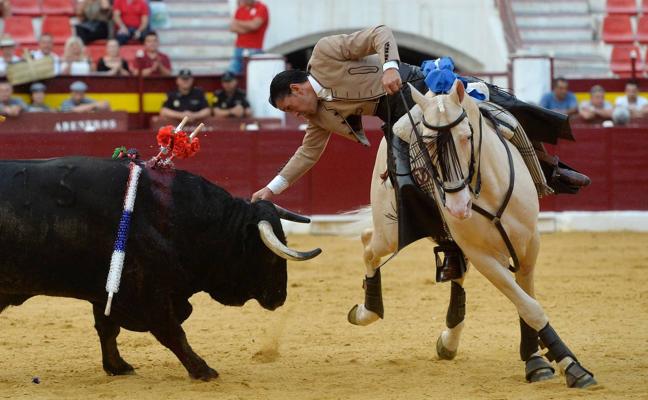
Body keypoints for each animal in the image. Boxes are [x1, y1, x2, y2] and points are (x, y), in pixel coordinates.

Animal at [346, 79, 597, 388]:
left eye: (467, 136)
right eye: (427, 143)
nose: (457, 207)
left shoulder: (529, 243)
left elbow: (525, 299)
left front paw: (539, 360)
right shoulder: (483, 255)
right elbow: (529, 306)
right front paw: (567, 365)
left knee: (453, 271)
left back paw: (449, 341)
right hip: (390, 230)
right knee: (368, 242)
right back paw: (366, 311)